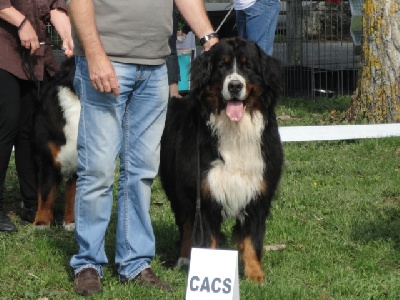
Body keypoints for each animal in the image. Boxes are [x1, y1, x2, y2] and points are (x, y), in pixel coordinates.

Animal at [159, 36, 284, 282]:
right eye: (222, 66)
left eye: (247, 66)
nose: (234, 86)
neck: (234, 131)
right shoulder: (204, 194)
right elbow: (206, 239)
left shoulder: (257, 193)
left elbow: (252, 239)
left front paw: (256, 275)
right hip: (178, 189)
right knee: (185, 223)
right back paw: (184, 258)